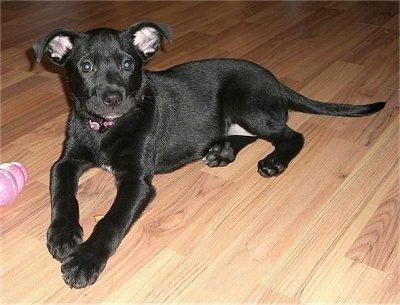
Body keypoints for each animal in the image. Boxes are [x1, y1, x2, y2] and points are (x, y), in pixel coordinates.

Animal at [33, 21, 384, 288]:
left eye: (128, 64)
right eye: (86, 66)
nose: (113, 98)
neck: (105, 128)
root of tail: (274, 80)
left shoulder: (137, 181)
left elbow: (112, 220)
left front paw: (85, 261)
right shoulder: (66, 161)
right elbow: (63, 194)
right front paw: (64, 234)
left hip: (246, 104)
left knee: (290, 135)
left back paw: (273, 162)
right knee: (246, 134)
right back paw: (221, 151)